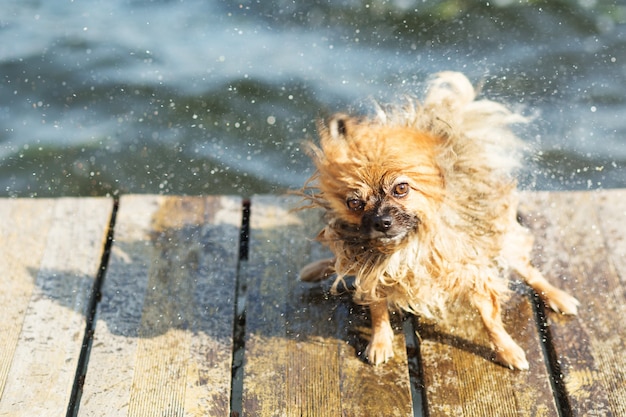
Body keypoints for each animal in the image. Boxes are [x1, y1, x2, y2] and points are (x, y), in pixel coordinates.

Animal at [300, 70, 576, 368]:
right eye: (355, 203)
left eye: (401, 188)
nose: (382, 222)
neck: (407, 244)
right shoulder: (372, 271)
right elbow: (377, 307)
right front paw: (380, 341)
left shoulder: (471, 267)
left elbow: (489, 317)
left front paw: (506, 349)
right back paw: (316, 269)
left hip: (502, 239)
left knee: (528, 269)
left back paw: (557, 296)